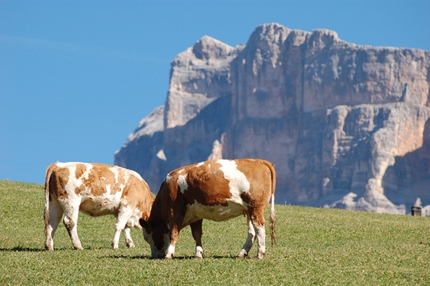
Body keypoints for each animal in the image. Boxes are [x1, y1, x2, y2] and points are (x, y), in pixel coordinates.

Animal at [139, 159, 278, 260]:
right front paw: (198, 254)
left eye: (147, 237)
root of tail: (260, 161)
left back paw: (260, 253)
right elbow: (196, 234)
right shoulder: (195, 214)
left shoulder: (174, 211)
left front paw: (169, 254)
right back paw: (242, 253)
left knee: (259, 227)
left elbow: (173, 233)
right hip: (249, 210)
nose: (155, 256)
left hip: (256, 207)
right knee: (252, 232)